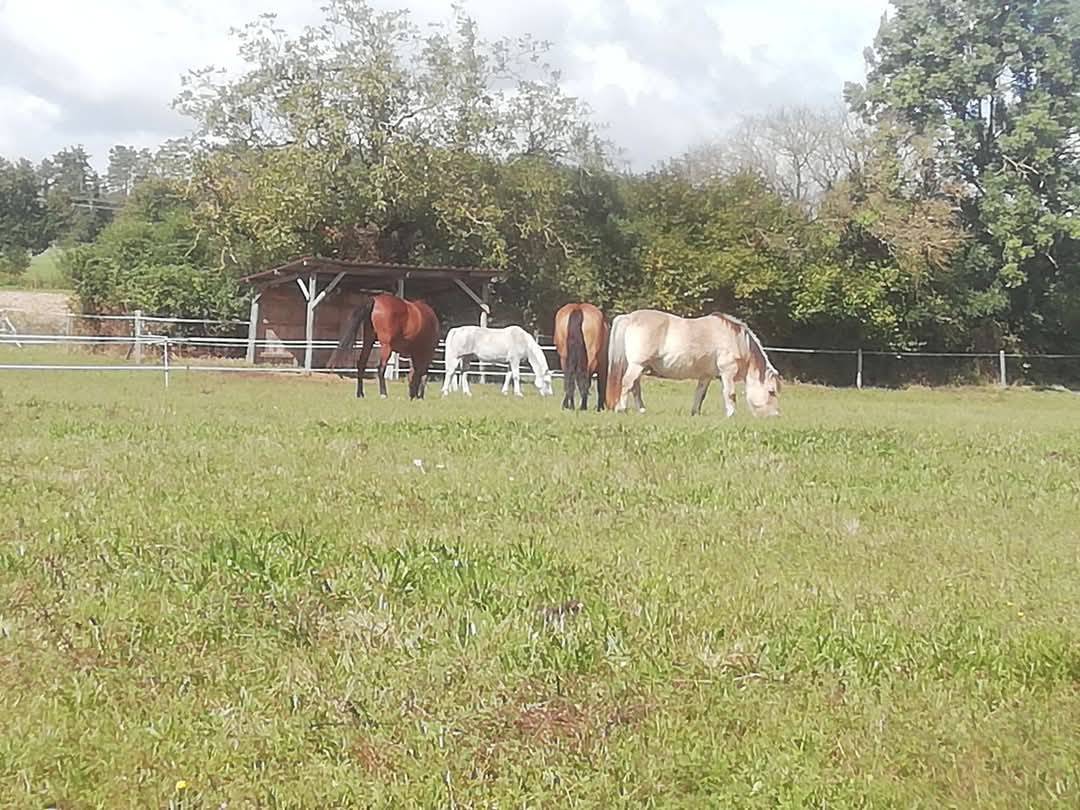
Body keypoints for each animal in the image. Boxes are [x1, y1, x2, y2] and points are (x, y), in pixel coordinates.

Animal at [605, 310, 781, 417]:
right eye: (771, 392)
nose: (775, 415)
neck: (736, 340)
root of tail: (630, 317)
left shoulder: (706, 376)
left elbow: (700, 394)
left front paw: (695, 413)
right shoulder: (727, 372)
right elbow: (730, 393)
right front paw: (731, 414)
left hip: (640, 366)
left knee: (635, 387)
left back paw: (642, 410)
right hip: (637, 365)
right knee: (627, 383)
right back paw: (621, 409)